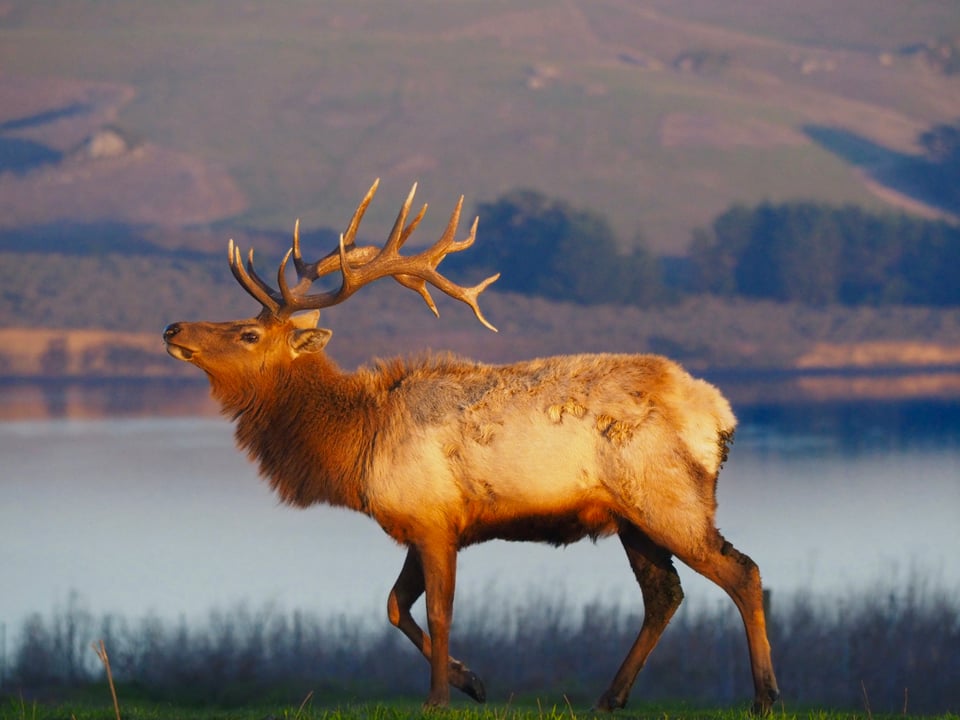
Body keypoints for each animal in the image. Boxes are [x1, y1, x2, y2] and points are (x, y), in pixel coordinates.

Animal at [163, 181, 780, 716]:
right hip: (632, 517)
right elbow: (395, 606)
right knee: (664, 595)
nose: (172, 329)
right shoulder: (421, 521)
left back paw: (765, 696)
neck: (356, 446)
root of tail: (720, 416)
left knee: (742, 572)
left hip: (669, 498)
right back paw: (610, 698)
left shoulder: (435, 520)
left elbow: (438, 611)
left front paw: (438, 698)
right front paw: (473, 681)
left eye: (249, 334)